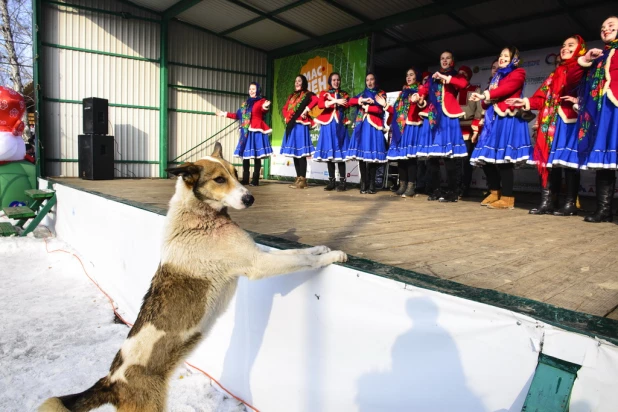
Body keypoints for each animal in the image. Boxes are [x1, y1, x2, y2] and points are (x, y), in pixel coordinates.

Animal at [38, 143, 346, 410]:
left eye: (236, 174)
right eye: (219, 180)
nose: (250, 198)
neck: (201, 218)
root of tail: (111, 381)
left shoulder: (256, 254)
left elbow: (298, 251)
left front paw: (321, 248)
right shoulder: (256, 263)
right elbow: (302, 260)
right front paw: (333, 256)